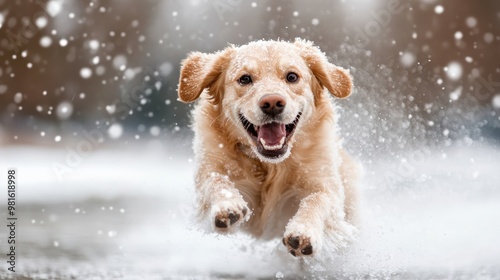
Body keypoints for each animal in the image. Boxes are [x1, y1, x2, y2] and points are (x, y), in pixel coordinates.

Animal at [179, 38, 360, 258]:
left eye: (292, 76)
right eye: (245, 79)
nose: (272, 102)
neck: (269, 165)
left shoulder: (324, 181)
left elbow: (318, 199)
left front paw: (303, 232)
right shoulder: (211, 166)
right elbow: (215, 180)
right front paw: (228, 206)